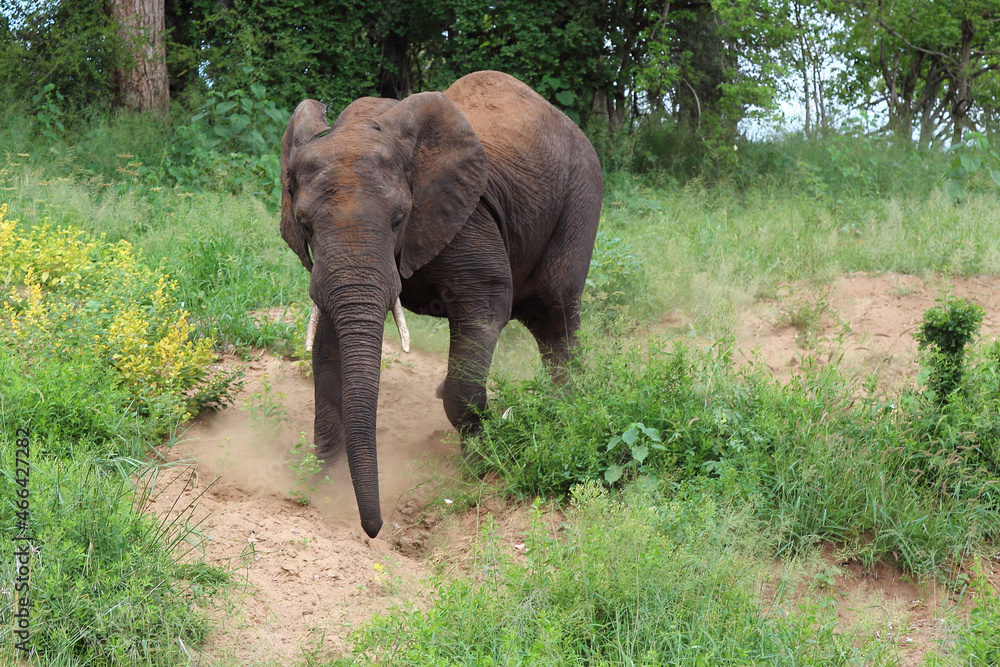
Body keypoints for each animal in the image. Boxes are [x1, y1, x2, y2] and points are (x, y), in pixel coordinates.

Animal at [280, 70, 602, 538]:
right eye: (304, 224)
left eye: (399, 219)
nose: (375, 528)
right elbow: (327, 345)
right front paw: (323, 484)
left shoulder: (468, 218)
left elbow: (488, 303)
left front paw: (480, 468)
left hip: (580, 198)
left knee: (554, 316)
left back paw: (568, 411)